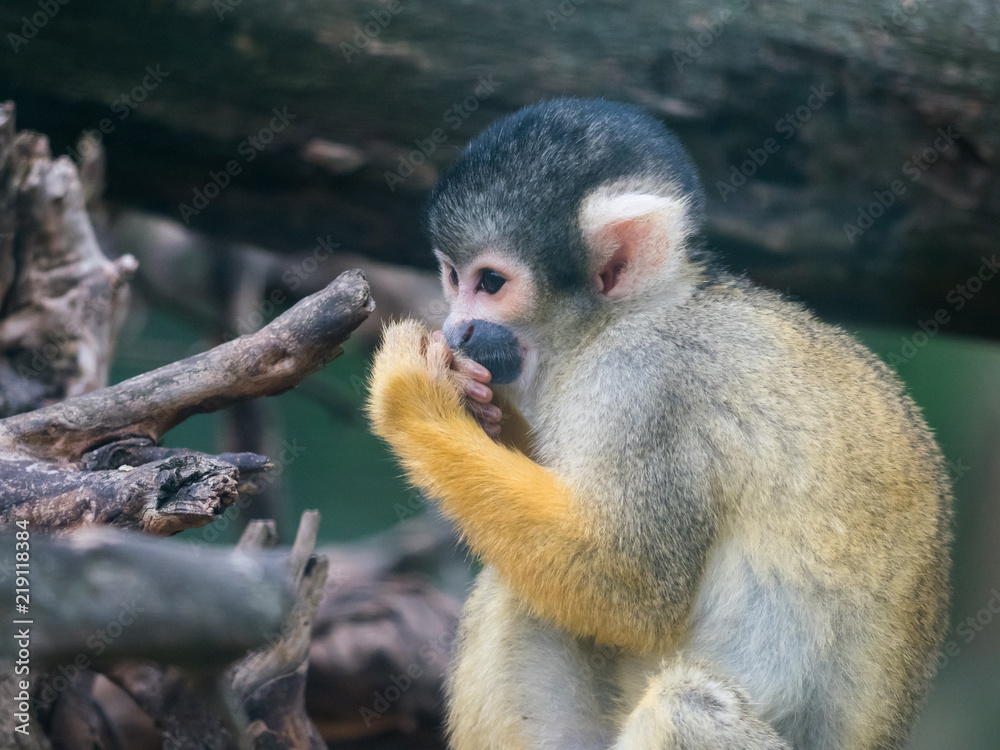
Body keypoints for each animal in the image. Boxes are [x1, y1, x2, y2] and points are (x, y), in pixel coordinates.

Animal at [366, 98, 951, 750]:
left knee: (684, 703)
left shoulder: (645, 382)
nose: (456, 329)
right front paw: (485, 413)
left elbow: (629, 589)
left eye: (490, 283)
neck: (624, 318)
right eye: (451, 275)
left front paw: (414, 397)